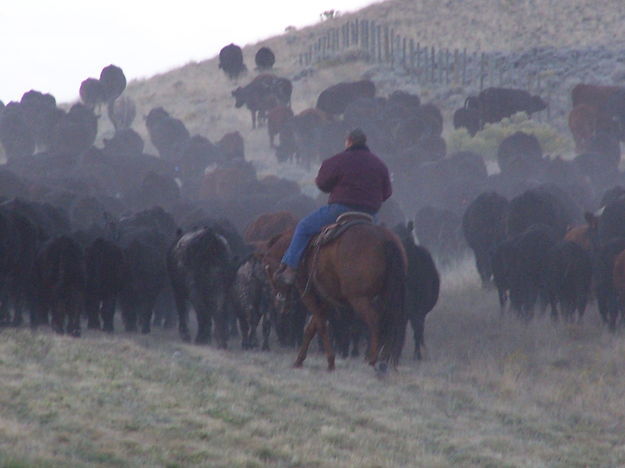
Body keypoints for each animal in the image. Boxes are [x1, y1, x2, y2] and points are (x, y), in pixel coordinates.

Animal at [260, 221, 408, 372]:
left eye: (267, 269)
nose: (280, 303)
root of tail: (384, 238)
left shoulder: (309, 295)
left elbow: (321, 325)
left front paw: (331, 361)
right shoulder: (325, 299)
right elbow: (311, 328)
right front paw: (299, 360)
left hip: (359, 299)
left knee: (375, 322)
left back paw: (372, 360)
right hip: (385, 297)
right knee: (389, 323)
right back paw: (383, 361)